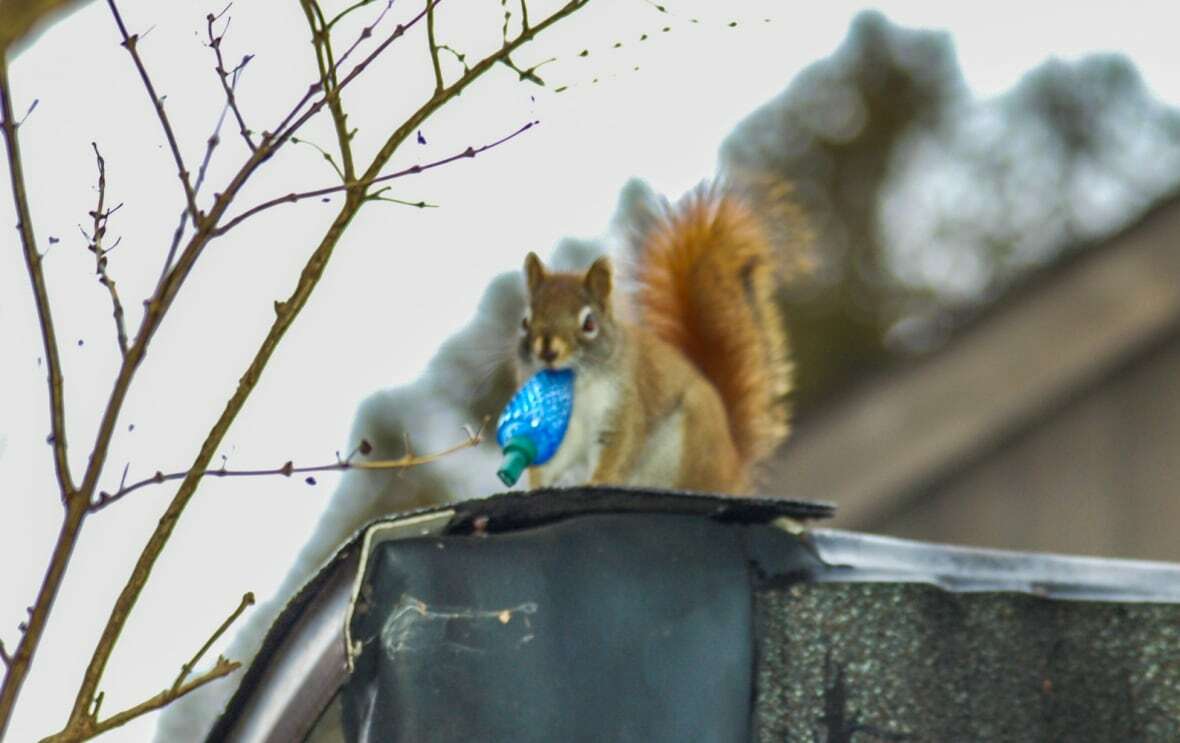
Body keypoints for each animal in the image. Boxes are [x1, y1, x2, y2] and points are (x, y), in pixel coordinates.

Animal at [515, 184, 794, 494]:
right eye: (525, 321)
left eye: (589, 324)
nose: (547, 351)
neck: (576, 387)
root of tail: (734, 468)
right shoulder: (559, 430)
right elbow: (549, 462)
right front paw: (534, 486)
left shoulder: (623, 405)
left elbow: (617, 449)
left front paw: (598, 479)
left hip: (692, 445)